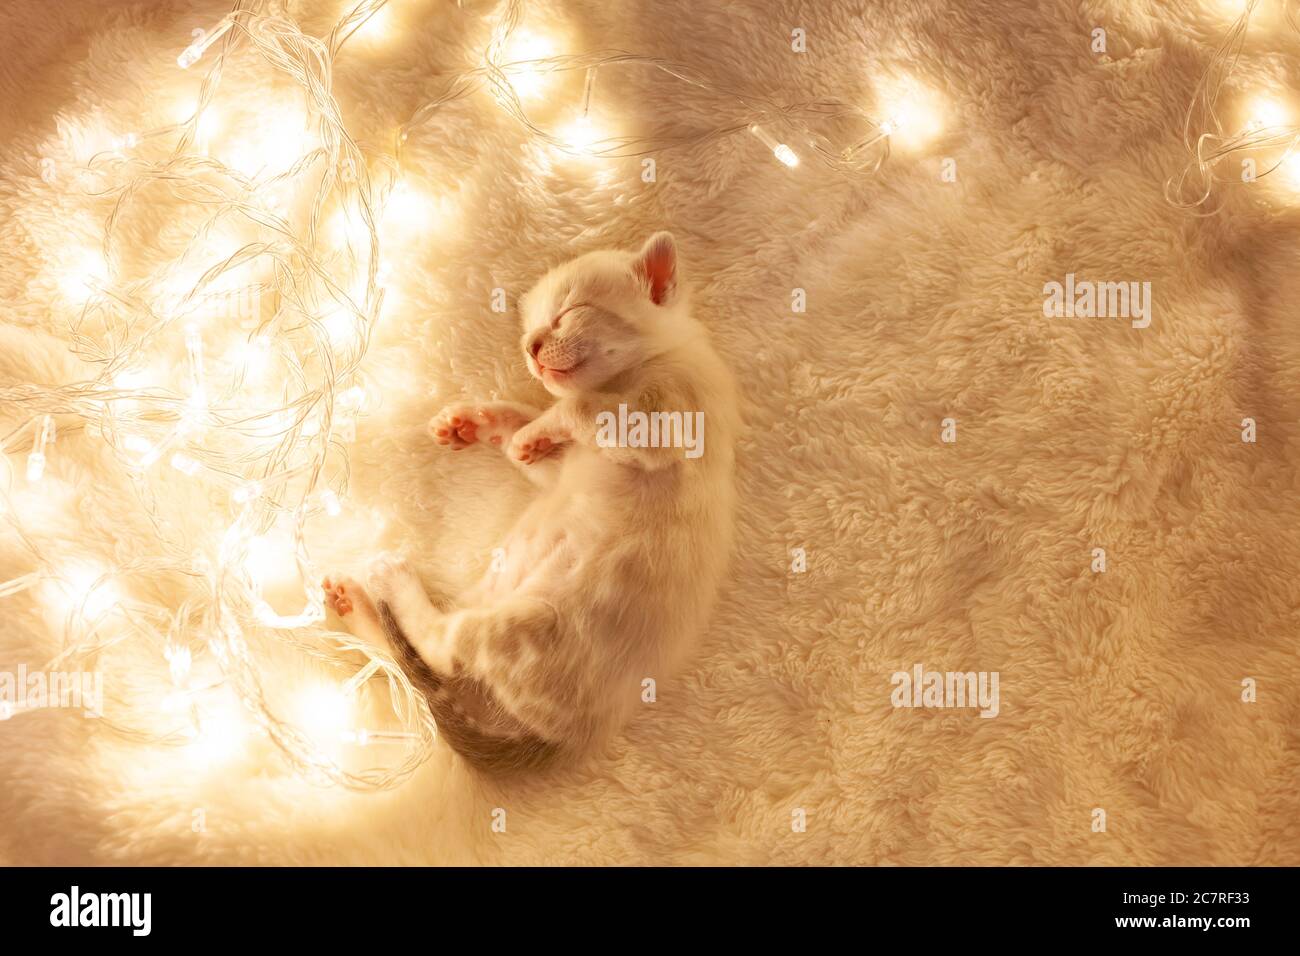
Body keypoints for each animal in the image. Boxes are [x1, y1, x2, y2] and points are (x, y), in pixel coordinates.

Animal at [321, 234, 738, 780]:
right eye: (530, 327)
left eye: (568, 314)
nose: (530, 347)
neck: (639, 370)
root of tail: (564, 738)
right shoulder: (569, 467)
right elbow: (541, 437)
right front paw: (482, 424)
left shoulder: (664, 421)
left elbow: (577, 408)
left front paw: (532, 429)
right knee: (418, 666)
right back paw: (355, 605)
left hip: (521, 625)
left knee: (438, 648)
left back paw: (391, 579)